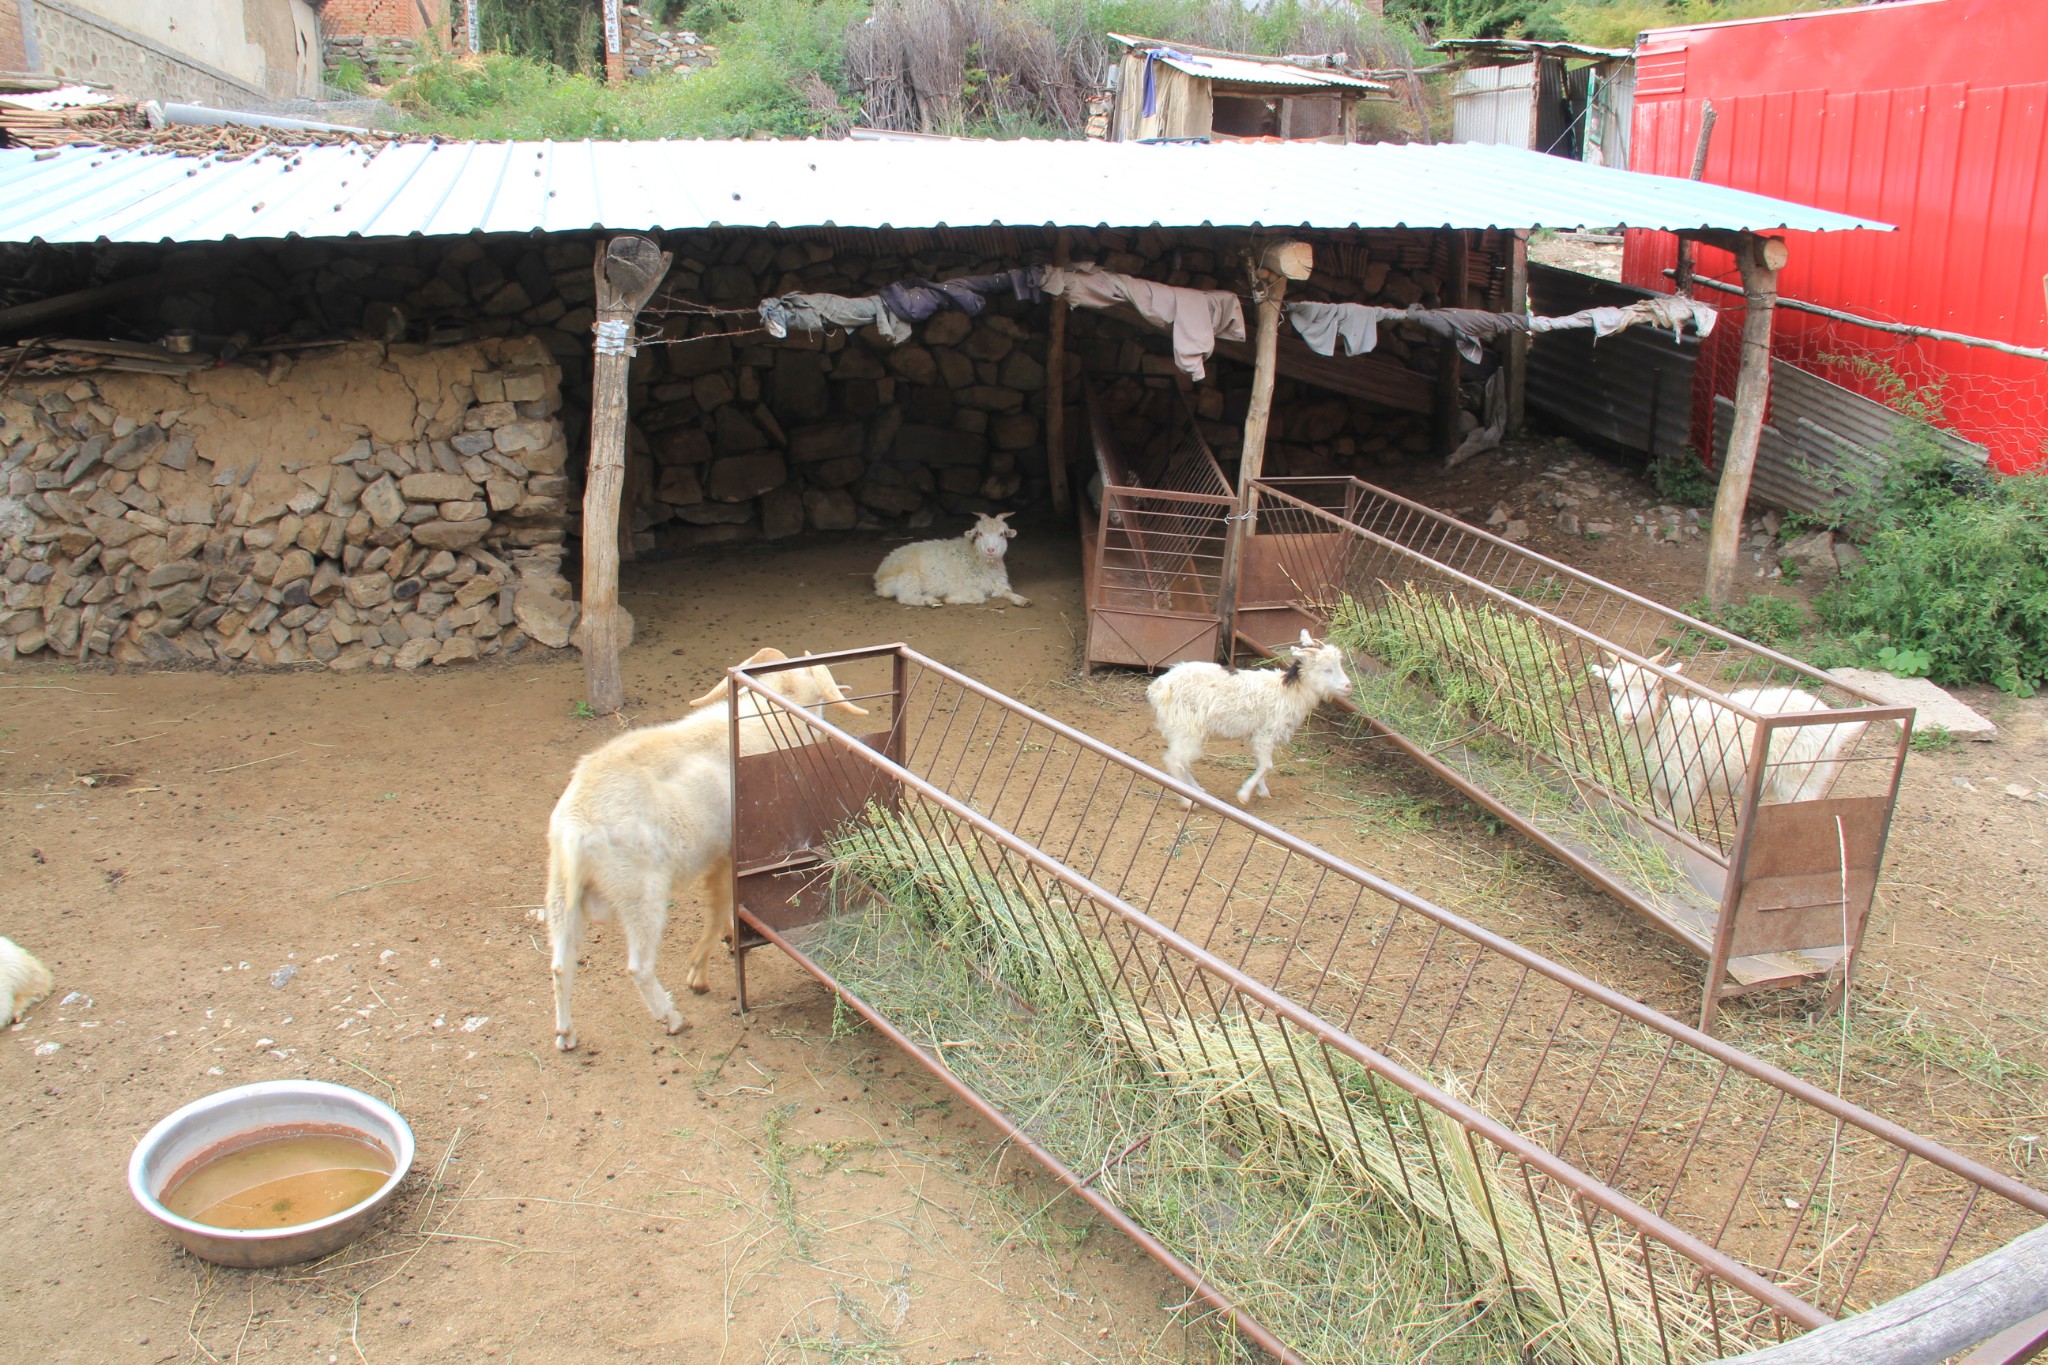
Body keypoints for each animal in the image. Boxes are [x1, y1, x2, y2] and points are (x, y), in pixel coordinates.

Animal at [536, 646, 864, 1055]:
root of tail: (578, 825)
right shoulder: (730, 853)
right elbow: (721, 905)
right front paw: (700, 974)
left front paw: (728, 939)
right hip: (640, 893)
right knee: (638, 967)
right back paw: (672, 1018)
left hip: (560, 892)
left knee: (560, 964)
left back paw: (566, 1034)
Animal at [868, 511, 1032, 609]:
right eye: (979, 533)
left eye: (1002, 534)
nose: (990, 550)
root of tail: (878, 576)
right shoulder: (963, 585)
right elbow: (979, 596)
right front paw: (951, 598)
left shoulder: (999, 582)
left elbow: (1007, 591)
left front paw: (1022, 600)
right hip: (908, 576)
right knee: (906, 596)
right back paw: (930, 601)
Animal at [1146, 634, 1351, 810]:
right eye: (1327, 669)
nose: (1348, 686)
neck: (1288, 691)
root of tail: (1159, 687)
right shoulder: (1266, 733)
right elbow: (1267, 765)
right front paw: (1244, 795)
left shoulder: (1258, 734)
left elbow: (1260, 763)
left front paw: (1262, 790)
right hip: (1187, 727)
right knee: (1175, 760)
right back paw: (1189, 801)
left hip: (1180, 728)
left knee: (1180, 761)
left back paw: (1197, 791)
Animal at [1581, 646, 1875, 826]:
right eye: (1614, 688)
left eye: (1651, 688)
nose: (1628, 716)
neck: (1664, 726)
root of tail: (1837, 727)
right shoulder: (1661, 784)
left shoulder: (1687, 785)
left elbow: (1676, 823)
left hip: (1801, 779)